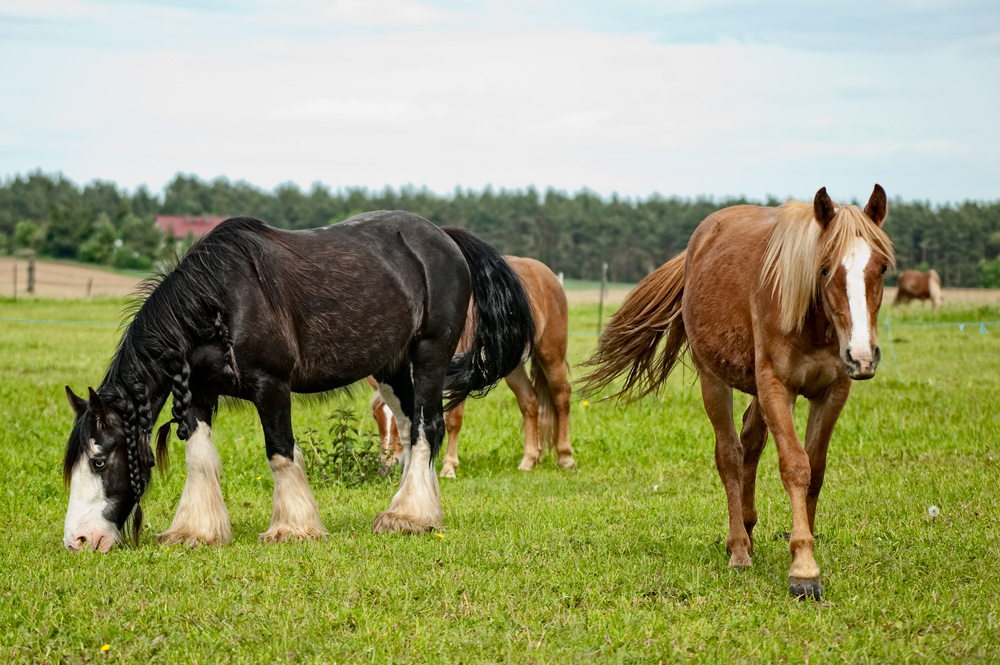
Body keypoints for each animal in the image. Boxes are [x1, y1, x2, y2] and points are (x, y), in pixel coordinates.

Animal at [60, 211, 540, 548]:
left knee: (429, 428)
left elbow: (280, 453)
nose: (79, 540)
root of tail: (444, 236)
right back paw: (418, 509)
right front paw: (196, 530)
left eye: (99, 461)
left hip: (429, 355)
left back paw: (409, 515)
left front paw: (292, 527)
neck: (218, 301)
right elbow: (199, 456)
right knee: (409, 429)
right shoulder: (196, 393)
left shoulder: (270, 386)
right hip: (390, 367)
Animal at [368, 255, 576, 478]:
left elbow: (453, 420)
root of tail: (545, 273)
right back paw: (528, 460)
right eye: (376, 416)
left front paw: (449, 467)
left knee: (561, 396)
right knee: (529, 402)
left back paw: (565, 457)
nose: (386, 466)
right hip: (512, 365)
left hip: (551, 353)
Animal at [584, 185, 896, 596]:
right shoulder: (777, 387)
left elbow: (816, 468)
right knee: (730, 453)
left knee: (751, 443)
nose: (861, 355)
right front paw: (804, 568)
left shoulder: (832, 391)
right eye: (825, 268)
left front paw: (804, 547)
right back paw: (738, 548)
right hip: (714, 381)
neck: (811, 321)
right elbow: (795, 466)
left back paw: (747, 528)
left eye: (882, 267)